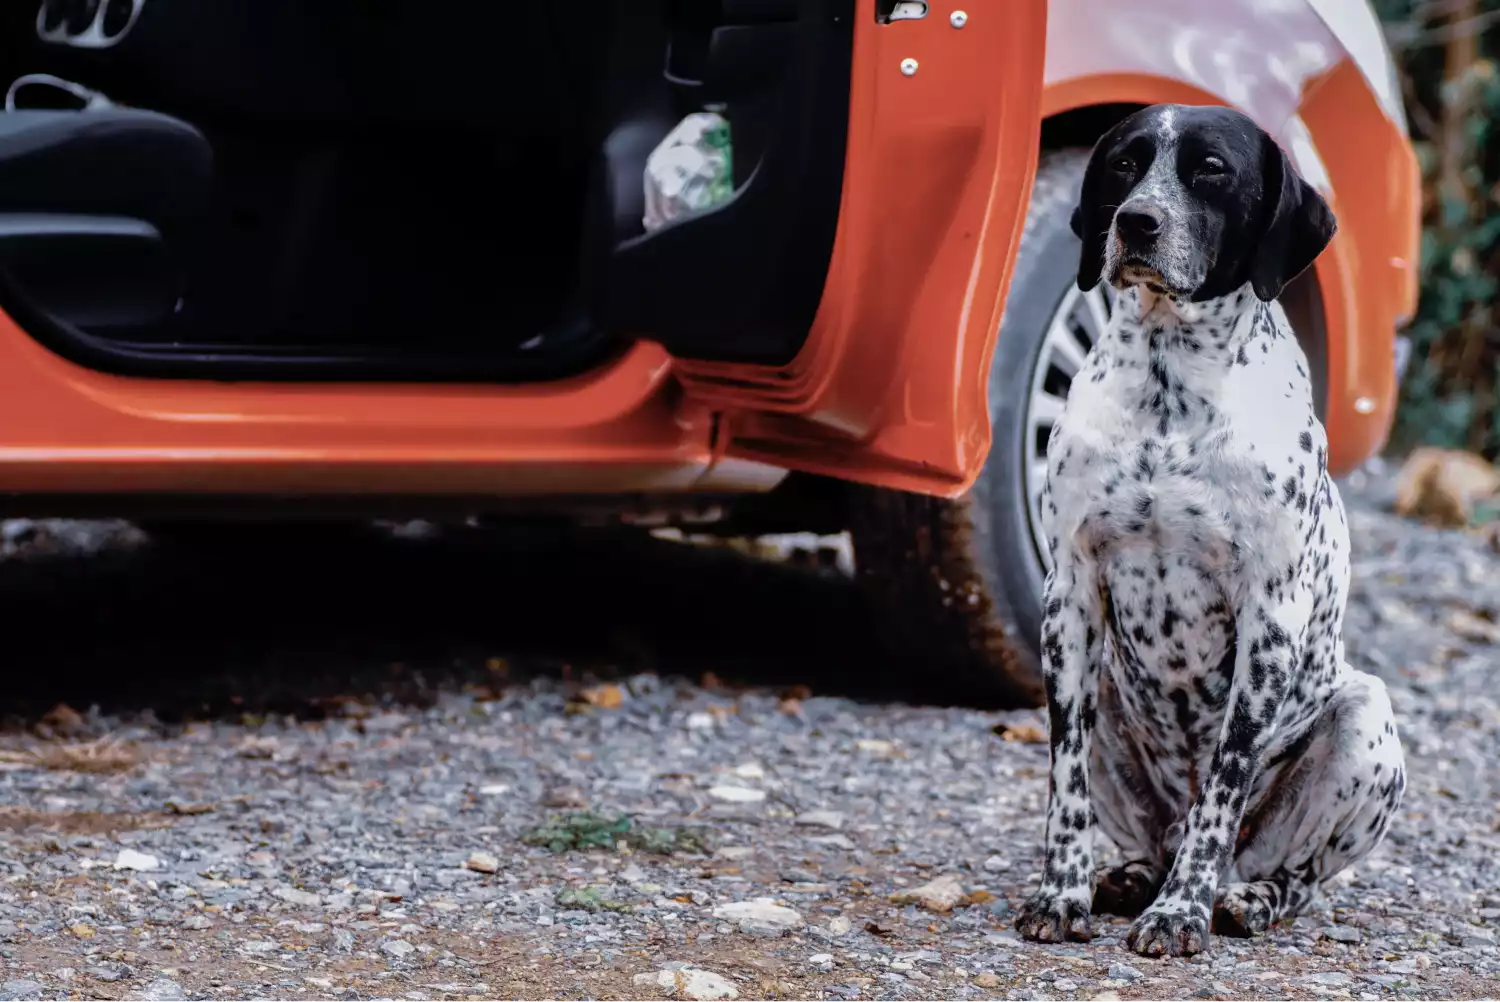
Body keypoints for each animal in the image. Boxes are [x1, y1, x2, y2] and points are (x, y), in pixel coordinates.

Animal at [1014, 105, 1410, 960]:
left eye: (1211, 171)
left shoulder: (1270, 617)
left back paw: (1240, 898)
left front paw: (1180, 914)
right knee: (1155, 835)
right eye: (1125, 164)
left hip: (1366, 722)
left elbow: (1224, 783)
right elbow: (1066, 784)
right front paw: (1061, 895)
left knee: (1292, 875)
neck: (1169, 388)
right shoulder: (1069, 597)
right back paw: (1131, 876)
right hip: (1101, 686)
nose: (1137, 222)